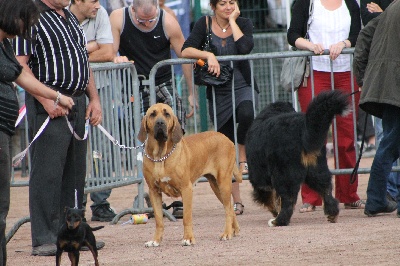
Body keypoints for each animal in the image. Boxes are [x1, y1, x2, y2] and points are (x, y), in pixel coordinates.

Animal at [139, 103, 242, 246]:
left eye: (167, 114)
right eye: (152, 114)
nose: (160, 123)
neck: (160, 155)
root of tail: (227, 139)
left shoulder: (186, 189)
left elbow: (186, 217)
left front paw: (188, 238)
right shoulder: (154, 192)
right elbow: (159, 220)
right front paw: (155, 240)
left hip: (224, 183)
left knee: (227, 209)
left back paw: (227, 233)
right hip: (216, 187)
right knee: (231, 208)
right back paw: (235, 230)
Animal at [247, 91, 350, 227]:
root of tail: (301, 130)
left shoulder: (260, 180)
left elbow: (270, 200)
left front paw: (275, 211)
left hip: (284, 175)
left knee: (288, 201)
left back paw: (278, 221)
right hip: (316, 169)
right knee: (326, 190)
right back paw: (332, 214)